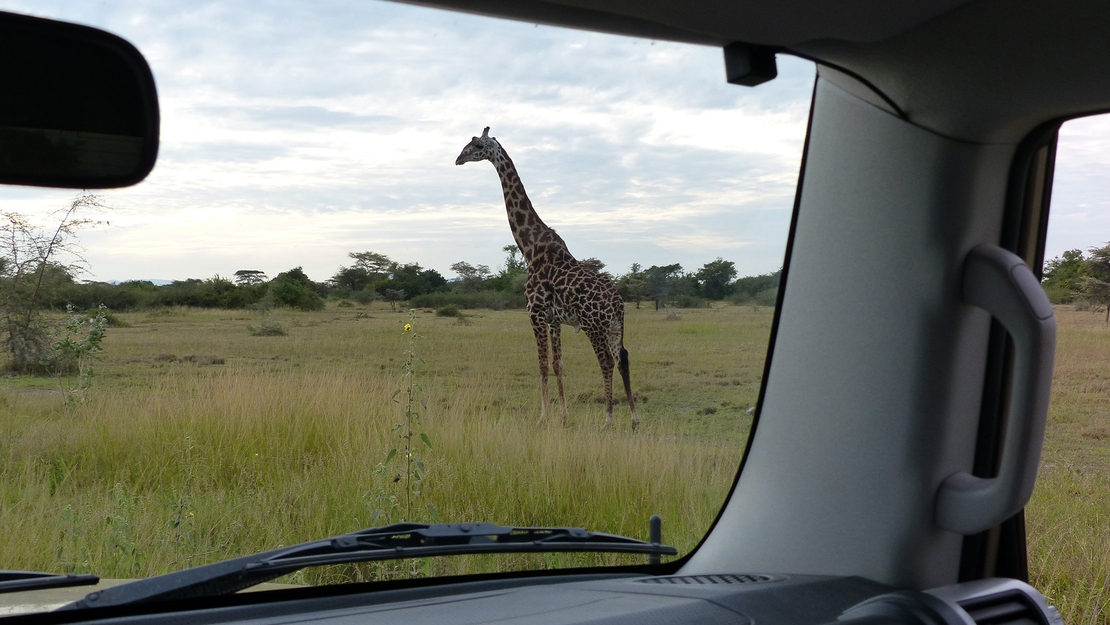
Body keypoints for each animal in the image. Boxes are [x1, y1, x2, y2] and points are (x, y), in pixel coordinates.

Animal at [452, 127, 643, 430]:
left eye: (477, 145)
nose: (458, 158)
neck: (530, 248)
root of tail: (616, 302)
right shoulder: (554, 319)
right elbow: (557, 364)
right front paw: (563, 416)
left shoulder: (536, 312)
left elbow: (541, 364)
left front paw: (543, 417)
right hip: (615, 325)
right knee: (622, 357)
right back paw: (634, 419)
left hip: (593, 324)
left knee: (605, 361)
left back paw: (609, 419)